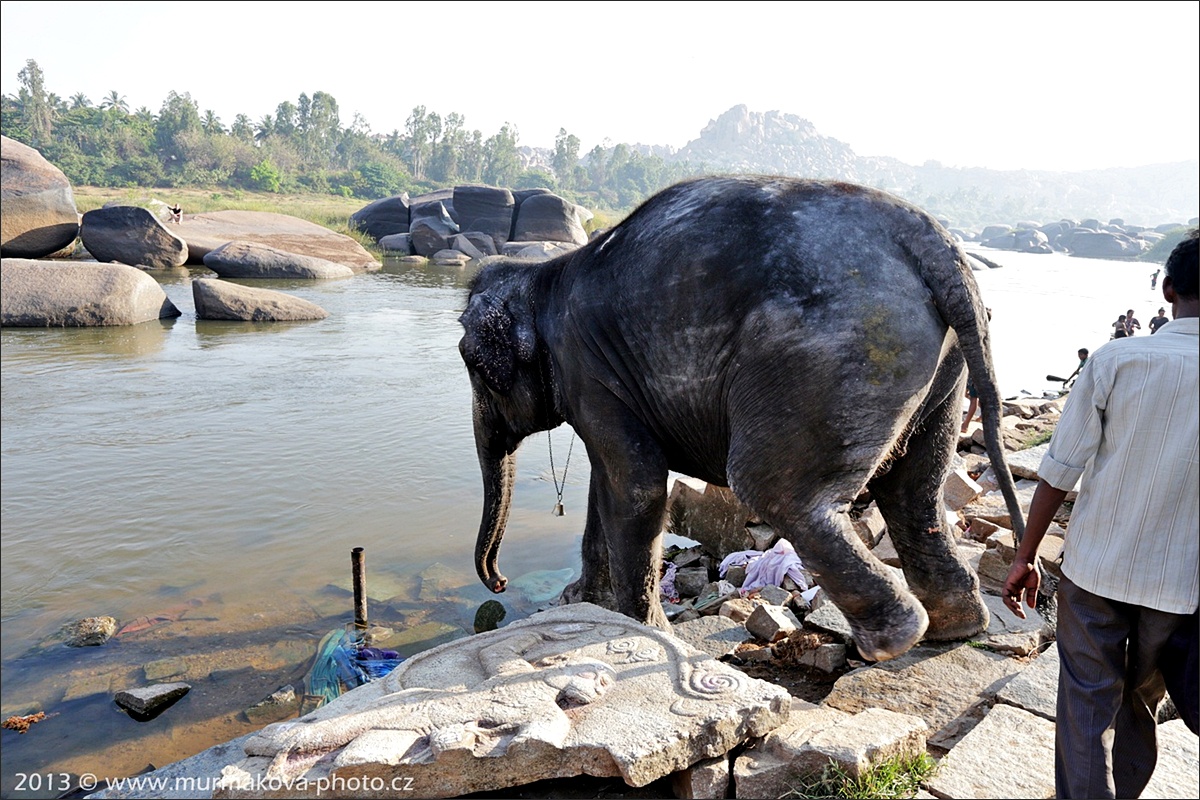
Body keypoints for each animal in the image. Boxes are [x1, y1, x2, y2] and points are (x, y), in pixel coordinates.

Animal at [456, 175, 1022, 662]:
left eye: (473, 364)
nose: (499, 582)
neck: (544, 276)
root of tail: (937, 244)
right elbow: (607, 484)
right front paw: (585, 603)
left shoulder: (589, 371)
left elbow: (636, 489)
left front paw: (645, 633)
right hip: (937, 364)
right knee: (914, 491)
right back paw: (956, 628)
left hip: (840, 352)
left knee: (775, 489)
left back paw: (893, 641)